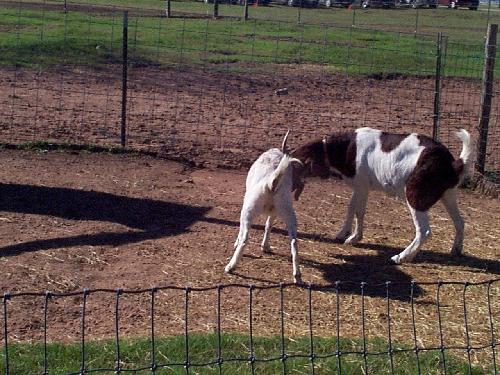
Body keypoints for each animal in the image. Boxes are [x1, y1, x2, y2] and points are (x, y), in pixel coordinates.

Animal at [225, 134, 302, 284]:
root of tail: (272, 183)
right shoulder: (274, 213)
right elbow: (268, 225)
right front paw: (265, 246)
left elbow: (241, 230)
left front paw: (236, 243)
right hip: (287, 211)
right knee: (294, 242)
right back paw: (297, 276)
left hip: (248, 210)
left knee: (245, 238)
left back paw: (230, 266)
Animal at [292, 126, 470, 264]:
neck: (346, 149)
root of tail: (452, 164)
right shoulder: (359, 187)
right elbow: (352, 208)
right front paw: (344, 234)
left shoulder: (362, 185)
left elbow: (359, 211)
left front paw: (354, 238)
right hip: (448, 194)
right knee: (460, 222)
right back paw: (455, 250)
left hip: (416, 195)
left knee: (424, 231)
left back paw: (402, 257)